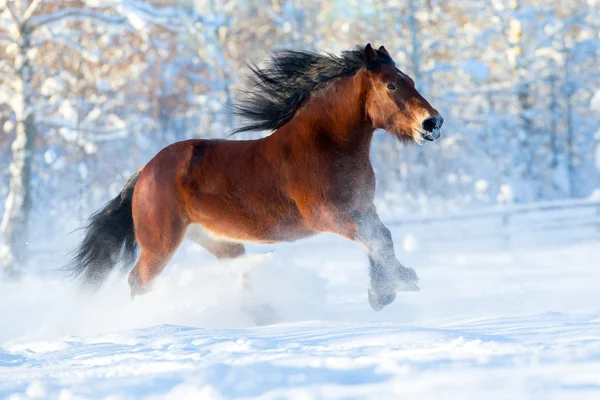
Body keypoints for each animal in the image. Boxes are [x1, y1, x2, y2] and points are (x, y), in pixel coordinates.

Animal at [68, 44, 442, 312]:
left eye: (411, 80)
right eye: (391, 84)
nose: (433, 123)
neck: (325, 145)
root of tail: (144, 172)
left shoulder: (362, 208)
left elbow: (382, 237)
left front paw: (389, 288)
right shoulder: (328, 215)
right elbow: (375, 240)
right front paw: (392, 287)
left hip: (221, 242)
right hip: (160, 245)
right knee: (138, 281)